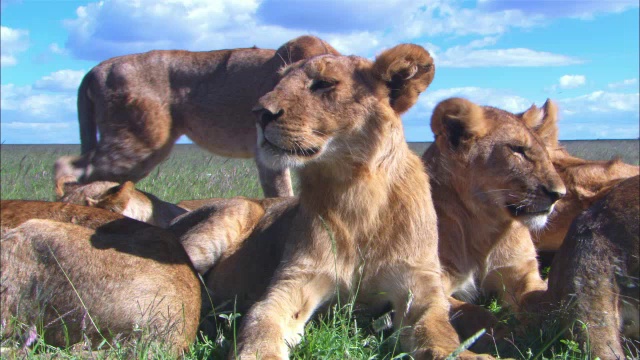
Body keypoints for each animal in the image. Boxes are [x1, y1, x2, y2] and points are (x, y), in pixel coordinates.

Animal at [55, 35, 342, 198]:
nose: (262, 111)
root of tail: (97, 68)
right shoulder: (267, 155)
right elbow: (282, 195)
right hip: (138, 144)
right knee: (68, 169)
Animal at [422, 97, 568, 334]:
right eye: (517, 150)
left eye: (546, 154)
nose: (559, 194)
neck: (486, 227)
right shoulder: (437, 278)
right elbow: (475, 313)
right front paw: (505, 333)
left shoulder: (522, 273)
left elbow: (536, 300)